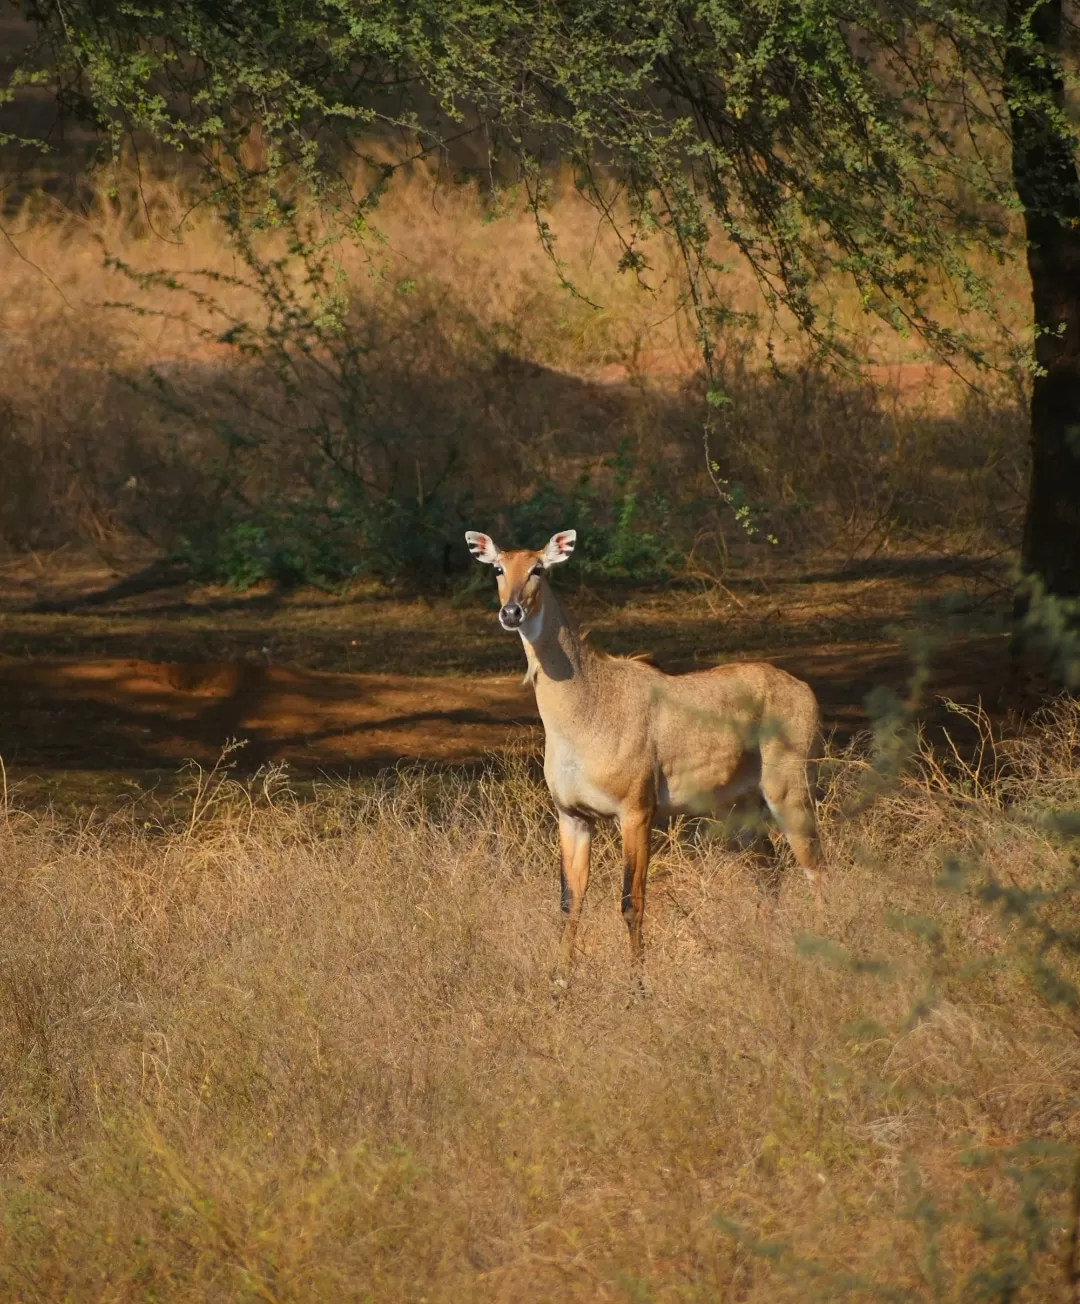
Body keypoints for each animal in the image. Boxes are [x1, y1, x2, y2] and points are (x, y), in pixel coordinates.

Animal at [466, 524, 824, 980]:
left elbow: (631, 901)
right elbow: (569, 902)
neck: (586, 707)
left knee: (815, 867)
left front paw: (638, 984)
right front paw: (559, 981)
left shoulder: (637, 809)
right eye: (497, 568)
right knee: (772, 873)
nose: (511, 612)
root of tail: (806, 690)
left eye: (538, 570)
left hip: (789, 788)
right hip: (738, 806)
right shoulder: (572, 815)